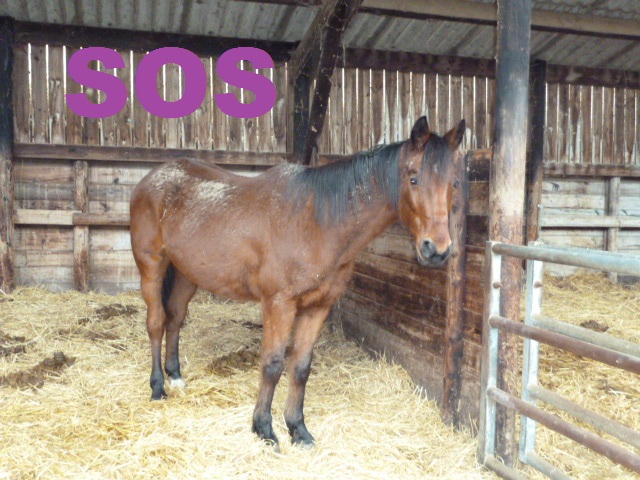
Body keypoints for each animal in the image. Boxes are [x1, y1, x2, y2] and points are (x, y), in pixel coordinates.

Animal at [129, 115, 464, 446]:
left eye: (454, 183)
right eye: (413, 178)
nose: (437, 250)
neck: (317, 222)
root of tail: (151, 179)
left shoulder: (318, 307)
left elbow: (301, 367)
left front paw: (297, 429)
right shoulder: (279, 305)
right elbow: (273, 364)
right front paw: (264, 428)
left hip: (187, 274)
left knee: (175, 318)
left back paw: (175, 376)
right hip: (152, 267)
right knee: (156, 322)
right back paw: (158, 387)